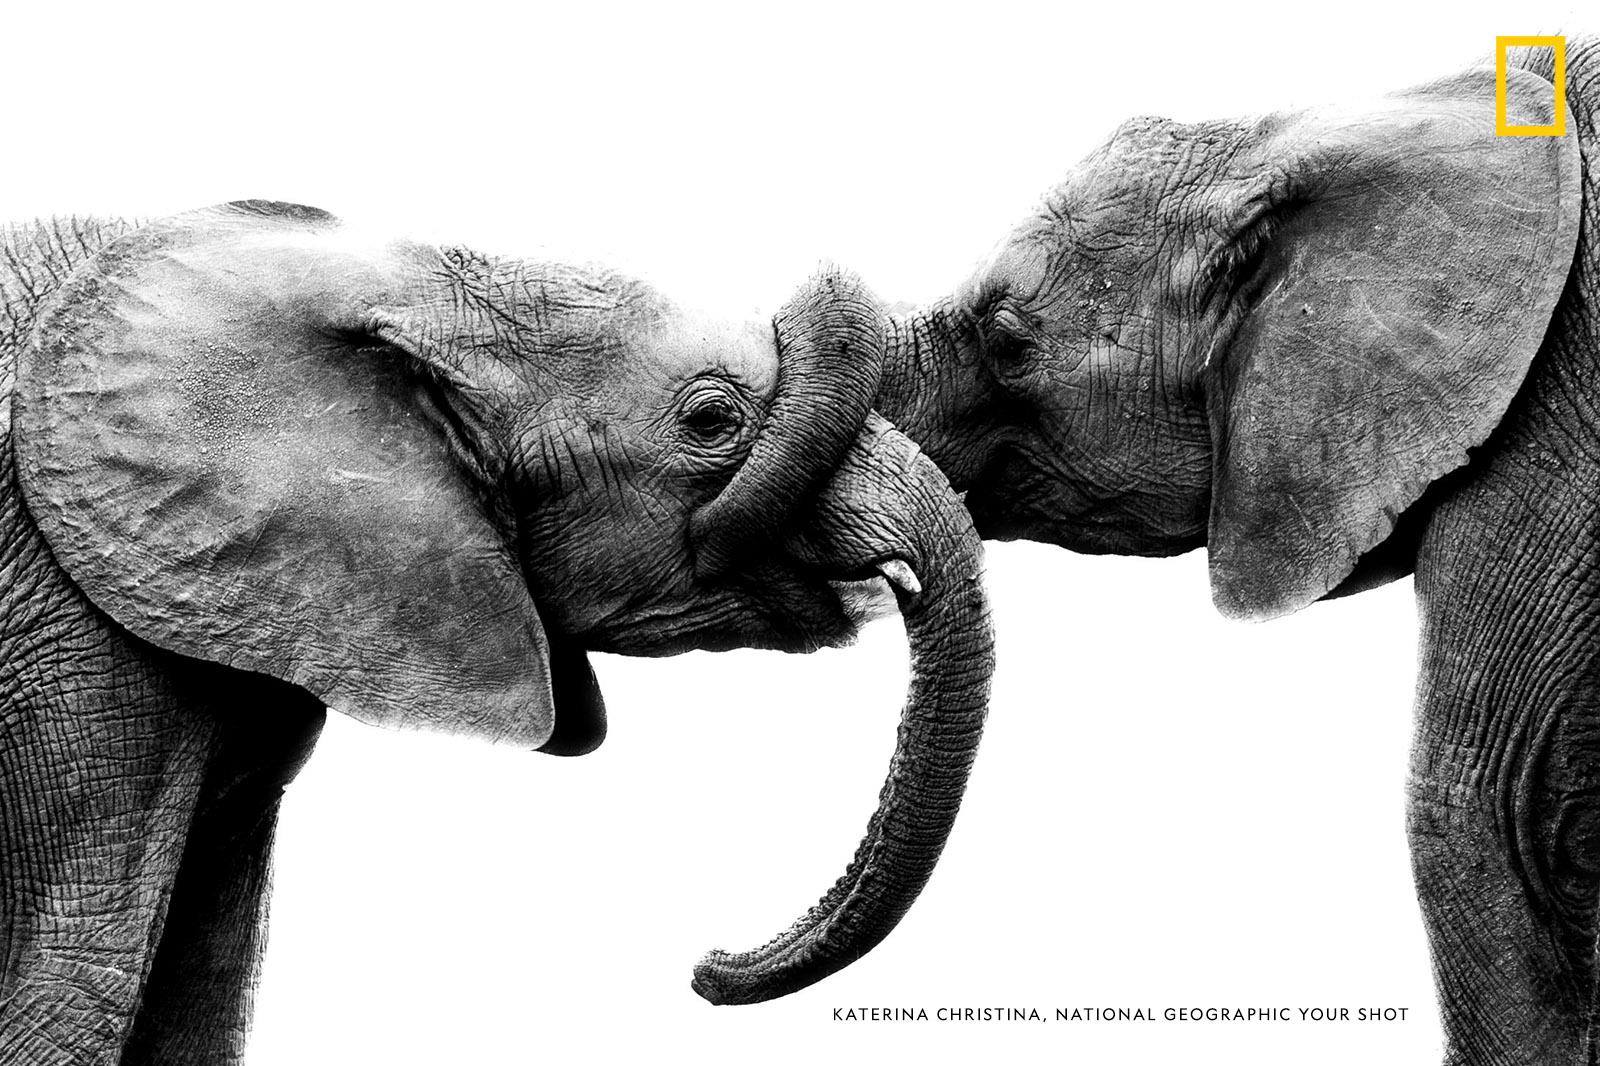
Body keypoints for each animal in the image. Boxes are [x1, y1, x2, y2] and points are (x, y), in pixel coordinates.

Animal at [0, 201, 993, 1062]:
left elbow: (207, 987)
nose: (706, 967)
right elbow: (73, 976)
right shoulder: (66, 622)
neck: (392, 276)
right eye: (712, 420)